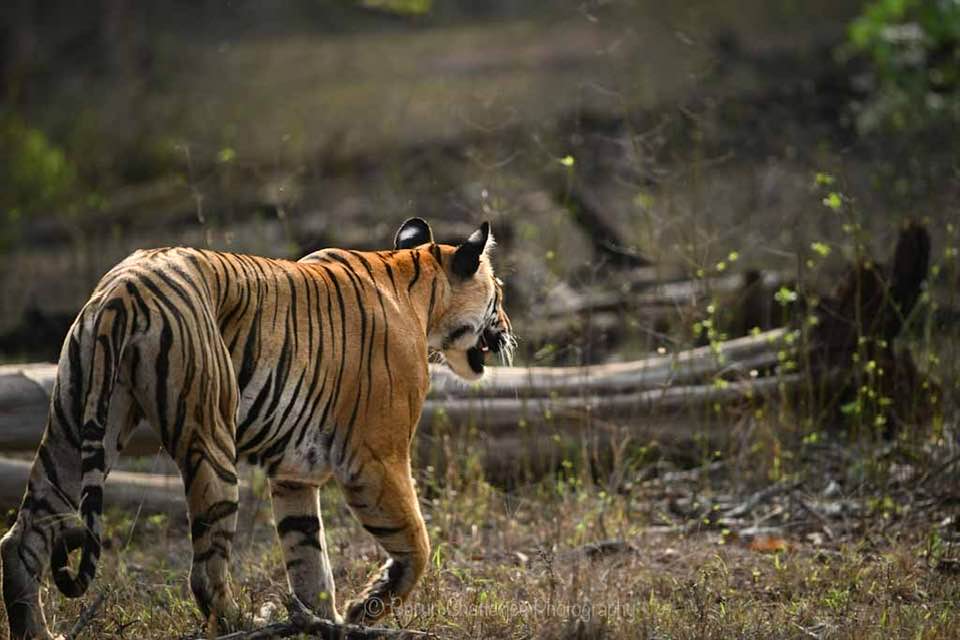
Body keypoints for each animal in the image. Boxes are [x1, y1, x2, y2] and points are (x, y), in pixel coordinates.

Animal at [0, 217, 513, 639]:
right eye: (500, 293)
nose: (508, 329)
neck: (417, 288)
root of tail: (123, 289)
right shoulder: (376, 459)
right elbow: (416, 543)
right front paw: (363, 608)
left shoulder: (295, 473)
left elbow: (309, 560)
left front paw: (324, 622)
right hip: (210, 439)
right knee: (205, 573)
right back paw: (244, 624)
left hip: (75, 428)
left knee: (22, 535)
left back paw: (37, 633)